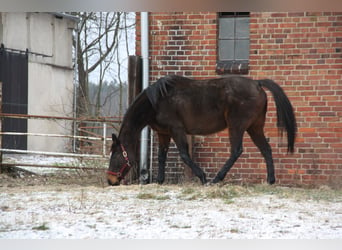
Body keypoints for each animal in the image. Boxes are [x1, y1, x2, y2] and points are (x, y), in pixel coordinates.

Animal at [107, 75, 296, 187]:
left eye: (115, 156)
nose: (110, 180)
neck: (157, 101)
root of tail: (257, 84)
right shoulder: (163, 133)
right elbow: (161, 156)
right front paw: (160, 181)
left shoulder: (177, 130)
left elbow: (184, 154)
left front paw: (202, 177)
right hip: (254, 128)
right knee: (266, 149)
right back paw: (270, 180)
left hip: (237, 126)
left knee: (236, 150)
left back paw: (215, 179)